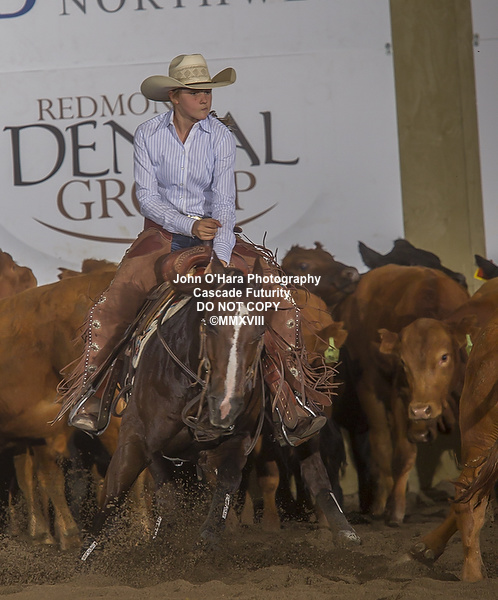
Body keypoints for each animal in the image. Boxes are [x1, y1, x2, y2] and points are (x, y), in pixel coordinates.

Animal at [335, 264, 474, 525]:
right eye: (402, 361)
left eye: (444, 356)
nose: (420, 410)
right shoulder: (399, 397)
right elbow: (403, 454)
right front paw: (396, 510)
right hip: (368, 389)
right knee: (381, 443)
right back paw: (381, 502)